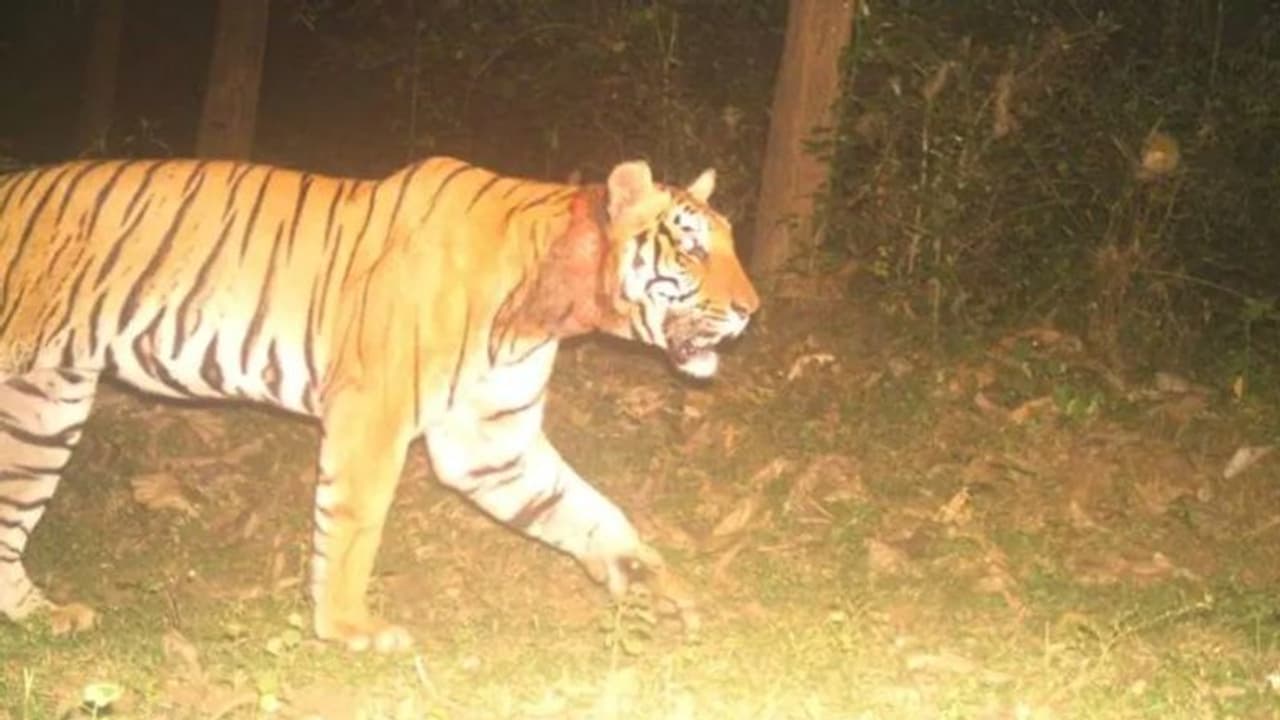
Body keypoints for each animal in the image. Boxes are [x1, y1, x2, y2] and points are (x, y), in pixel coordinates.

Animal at [0, 155, 759, 651]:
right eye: (691, 250)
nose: (753, 309)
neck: (548, 310)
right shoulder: (372, 413)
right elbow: (353, 524)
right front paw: (348, 629)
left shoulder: (492, 442)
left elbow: (585, 508)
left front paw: (649, 580)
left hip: (43, 406)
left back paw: (41, 615)